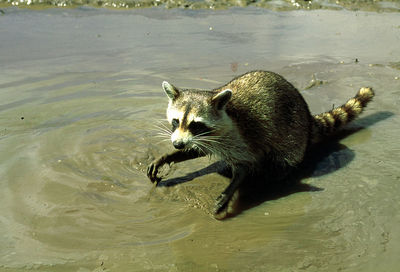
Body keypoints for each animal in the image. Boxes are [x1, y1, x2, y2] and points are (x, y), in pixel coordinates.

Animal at [147, 71, 376, 218]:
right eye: (176, 121)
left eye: (196, 124)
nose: (177, 144)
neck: (226, 114)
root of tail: (308, 117)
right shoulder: (208, 140)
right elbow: (197, 149)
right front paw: (168, 156)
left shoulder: (245, 139)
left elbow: (244, 166)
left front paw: (231, 190)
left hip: (293, 134)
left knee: (283, 160)